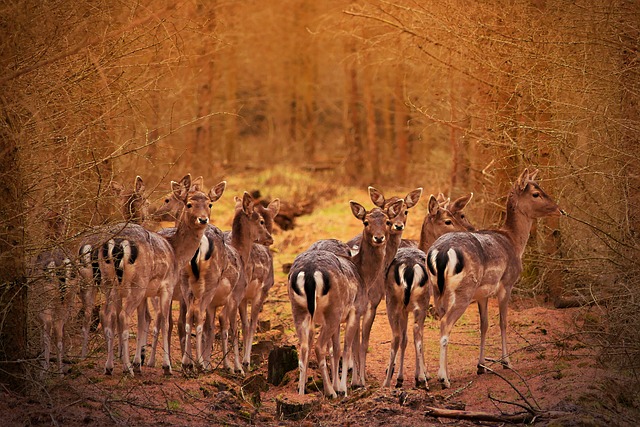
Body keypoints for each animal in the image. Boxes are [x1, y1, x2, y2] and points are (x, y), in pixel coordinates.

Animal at [98, 174, 222, 374]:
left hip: (108, 282)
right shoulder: (166, 287)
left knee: (107, 315)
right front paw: (165, 366)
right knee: (124, 316)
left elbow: (147, 321)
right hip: (137, 284)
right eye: (189, 204)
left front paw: (141, 361)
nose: (203, 219)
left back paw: (110, 367)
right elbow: (165, 323)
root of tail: (117, 244)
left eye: (209, 204)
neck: (176, 251)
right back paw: (127, 368)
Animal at [288, 201, 402, 402]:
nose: (379, 237)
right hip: (333, 310)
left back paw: (301, 394)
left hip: (299, 309)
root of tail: (309, 273)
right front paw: (344, 388)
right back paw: (330, 392)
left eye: (387, 221)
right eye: (366, 222)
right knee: (319, 346)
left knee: (303, 348)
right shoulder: (355, 310)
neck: (363, 274)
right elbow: (347, 347)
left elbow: (337, 349)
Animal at [380, 195, 476, 392]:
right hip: (420, 302)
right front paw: (422, 375)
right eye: (448, 220)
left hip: (392, 302)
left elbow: (404, 338)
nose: (469, 230)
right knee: (417, 331)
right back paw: (423, 380)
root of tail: (408, 269)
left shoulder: (404, 309)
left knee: (396, 336)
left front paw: (400, 377)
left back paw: (386, 382)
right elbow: (417, 337)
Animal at [428, 169, 564, 390]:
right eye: (536, 193)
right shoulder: (507, 284)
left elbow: (484, 325)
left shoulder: (482, 294)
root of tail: (439, 253)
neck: (515, 242)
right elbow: (503, 322)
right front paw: (507, 362)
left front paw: (481, 365)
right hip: (463, 290)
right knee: (446, 323)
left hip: (436, 290)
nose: (560, 210)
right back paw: (444, 379)